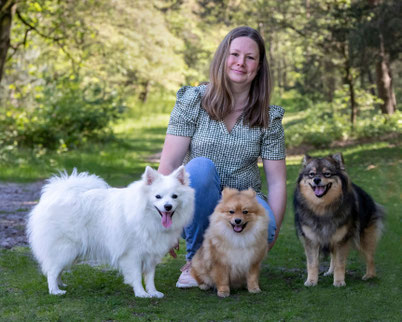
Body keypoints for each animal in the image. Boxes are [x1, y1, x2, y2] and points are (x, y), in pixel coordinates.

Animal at [25, 167, 194, 298]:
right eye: (158, 196)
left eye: (174, 196)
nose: (168, 206)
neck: (146, 216)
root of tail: (55, 195)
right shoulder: (132, 254)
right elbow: (137, 276)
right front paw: (141, 294)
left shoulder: (150, 254)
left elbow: (150, 277)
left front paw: (153, 292)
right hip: (65, 248)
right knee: (52, 271)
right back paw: (55, 291)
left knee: (56, 269)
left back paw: (61, 284)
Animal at [294, 153, 384, 286]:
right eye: (311, 174)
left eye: (327, 174)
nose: (316, 180)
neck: (322, 208)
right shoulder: (312, 240)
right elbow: (312, 264)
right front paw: (311, 281)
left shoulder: (341, 239)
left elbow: (340, 263)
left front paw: (339, 281)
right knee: (333, 257)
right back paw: (330, 271)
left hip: (364, 237)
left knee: (370, 257)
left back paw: (369, 275)